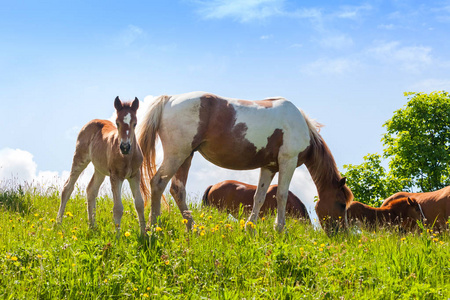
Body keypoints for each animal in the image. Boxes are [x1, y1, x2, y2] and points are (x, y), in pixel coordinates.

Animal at [56, 97, 146, 236]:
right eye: (117, 123)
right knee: (67, 188)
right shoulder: (115, 176)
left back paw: (92, 226)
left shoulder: (135, 175)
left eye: (135, 123)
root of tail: (91, 122)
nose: (125, 147)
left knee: (91, 190)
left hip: (100, 170)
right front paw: (118, 237)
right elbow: (118, 208)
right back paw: (58, 223)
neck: (127, 157)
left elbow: (140, 204)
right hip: (80, 159)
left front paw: (145, 235)